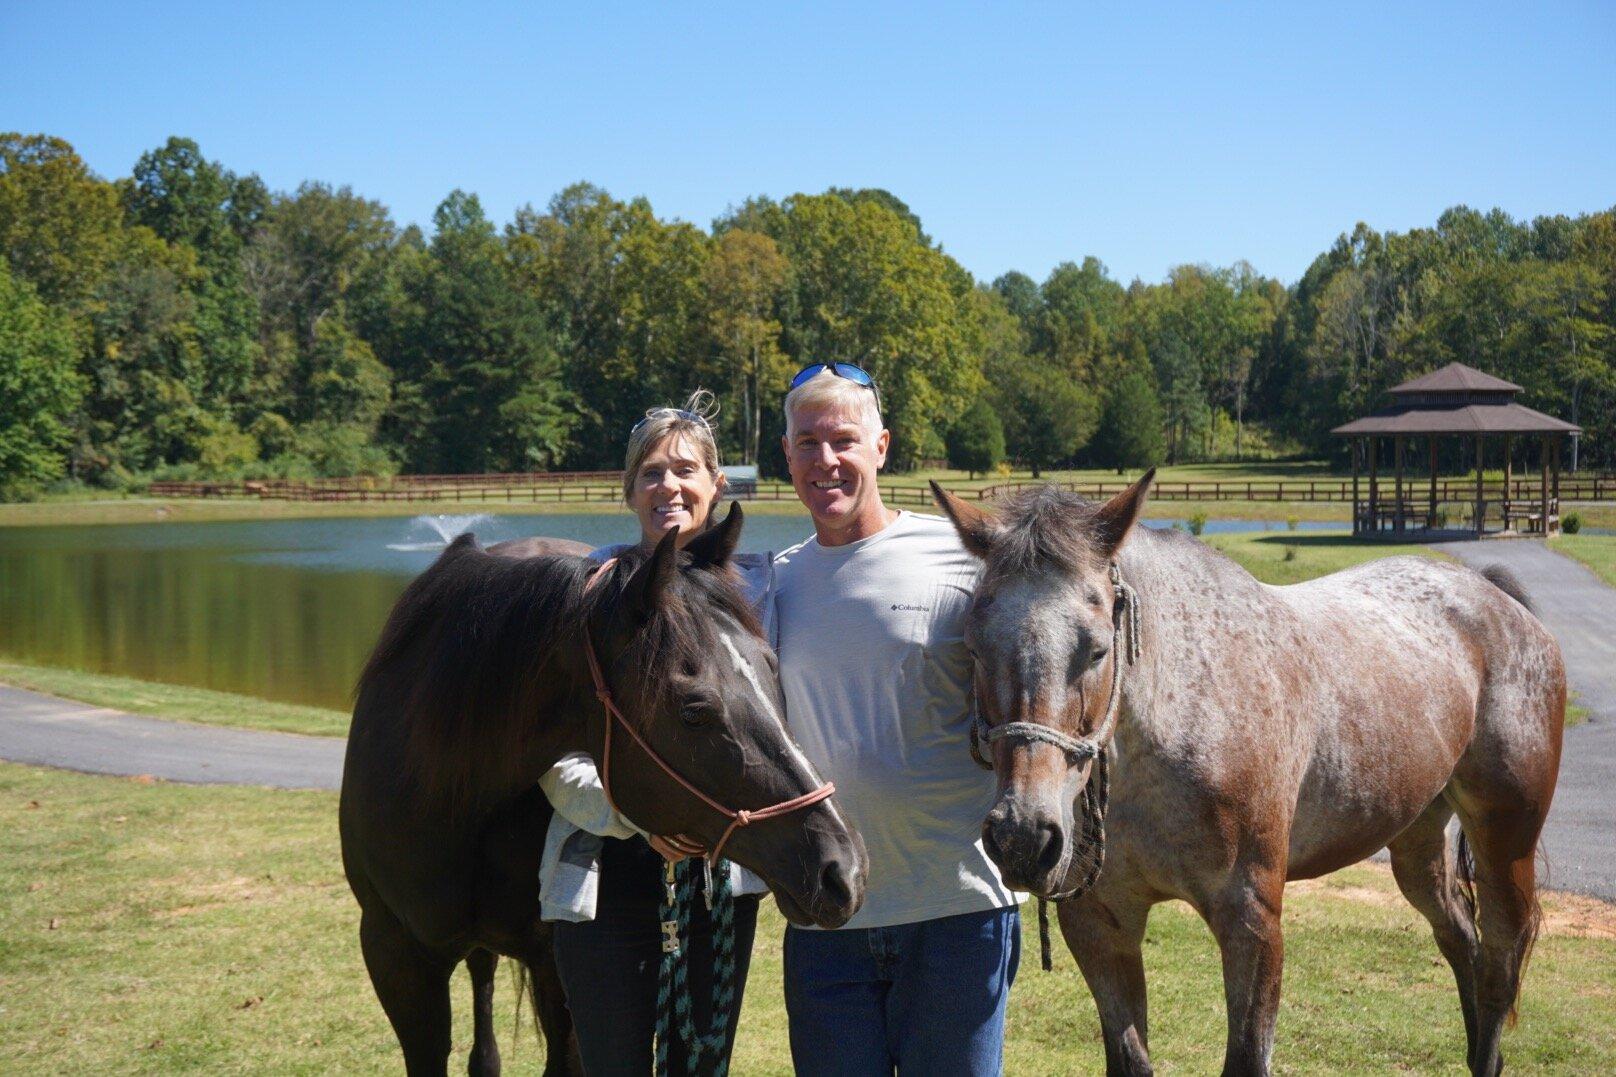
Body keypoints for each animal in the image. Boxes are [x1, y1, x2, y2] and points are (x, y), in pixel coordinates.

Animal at [342, 504, 872, 1073]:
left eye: (773, 667)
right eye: (693, 712)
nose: (843, 870)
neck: (443, 789)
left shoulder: (553, 964)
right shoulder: (393, 954)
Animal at [937, 475, 1564, 1073]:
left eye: (1096, 650)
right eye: (973, 647)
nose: (1023, 836)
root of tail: (1496, 598)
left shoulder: (1251, 921)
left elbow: (1245, 1057)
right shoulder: (1100, 923)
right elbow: (1130, 1057)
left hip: (1505, 839)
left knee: (1501, 957)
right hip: (1417, 843)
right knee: (1462, 939)